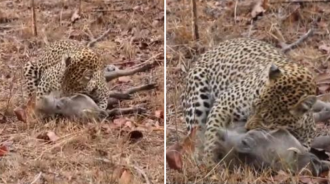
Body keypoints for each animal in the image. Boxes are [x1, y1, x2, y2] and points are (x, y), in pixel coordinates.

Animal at [182, 37, 318, 167]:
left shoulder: (306, 137)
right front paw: (209, 161)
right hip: (197, 103)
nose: (247, 128)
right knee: (195, 136)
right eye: (254, 106)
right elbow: (212, 134)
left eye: (267, 121)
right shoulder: (224, 103)